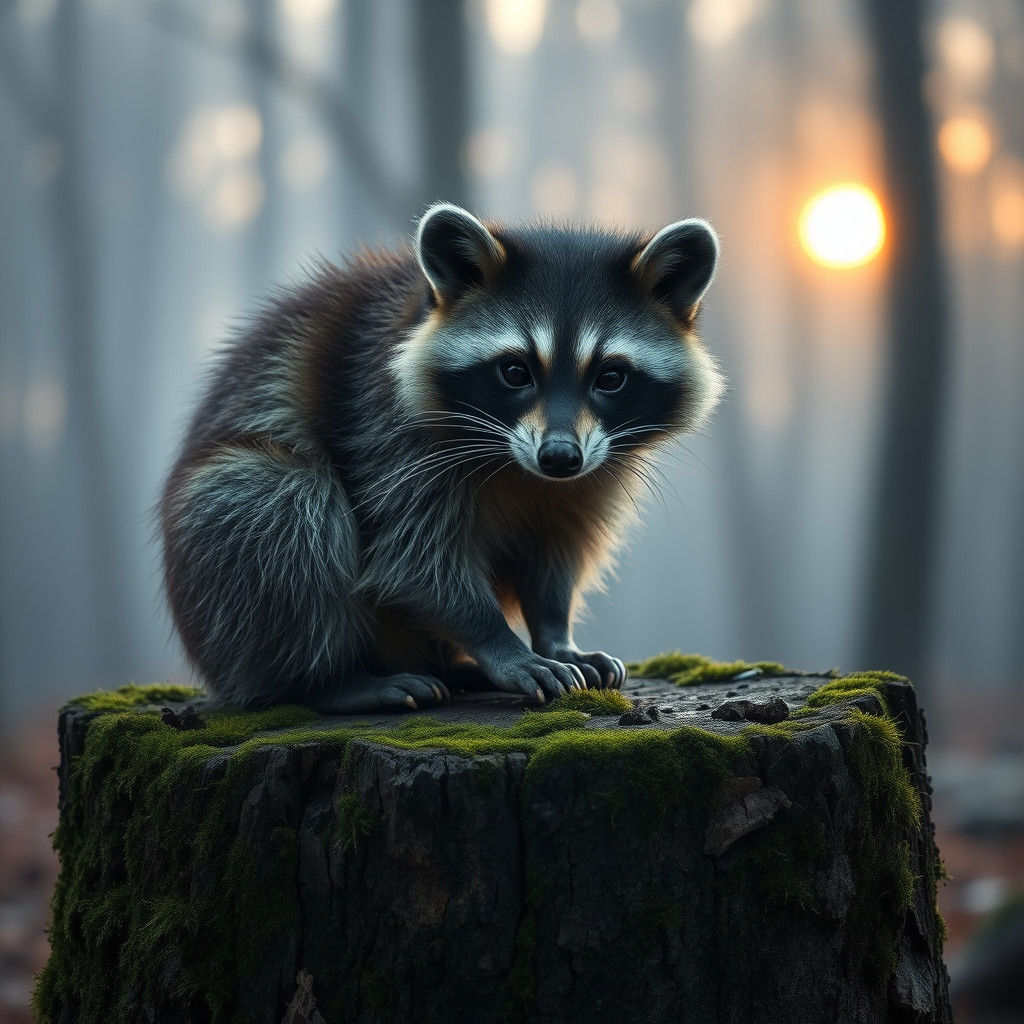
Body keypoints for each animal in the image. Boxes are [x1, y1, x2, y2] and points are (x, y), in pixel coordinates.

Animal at [160, 203, 724, 712]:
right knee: (280, 498)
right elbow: (413, 560)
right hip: (226, 573)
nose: (559, 457)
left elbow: (555, 551)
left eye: (610, 377)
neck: (519, 466)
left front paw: (555, 632)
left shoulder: (593, 470)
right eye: (514, 371)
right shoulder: (383, 428)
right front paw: (502, 643)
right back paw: (329, 681)